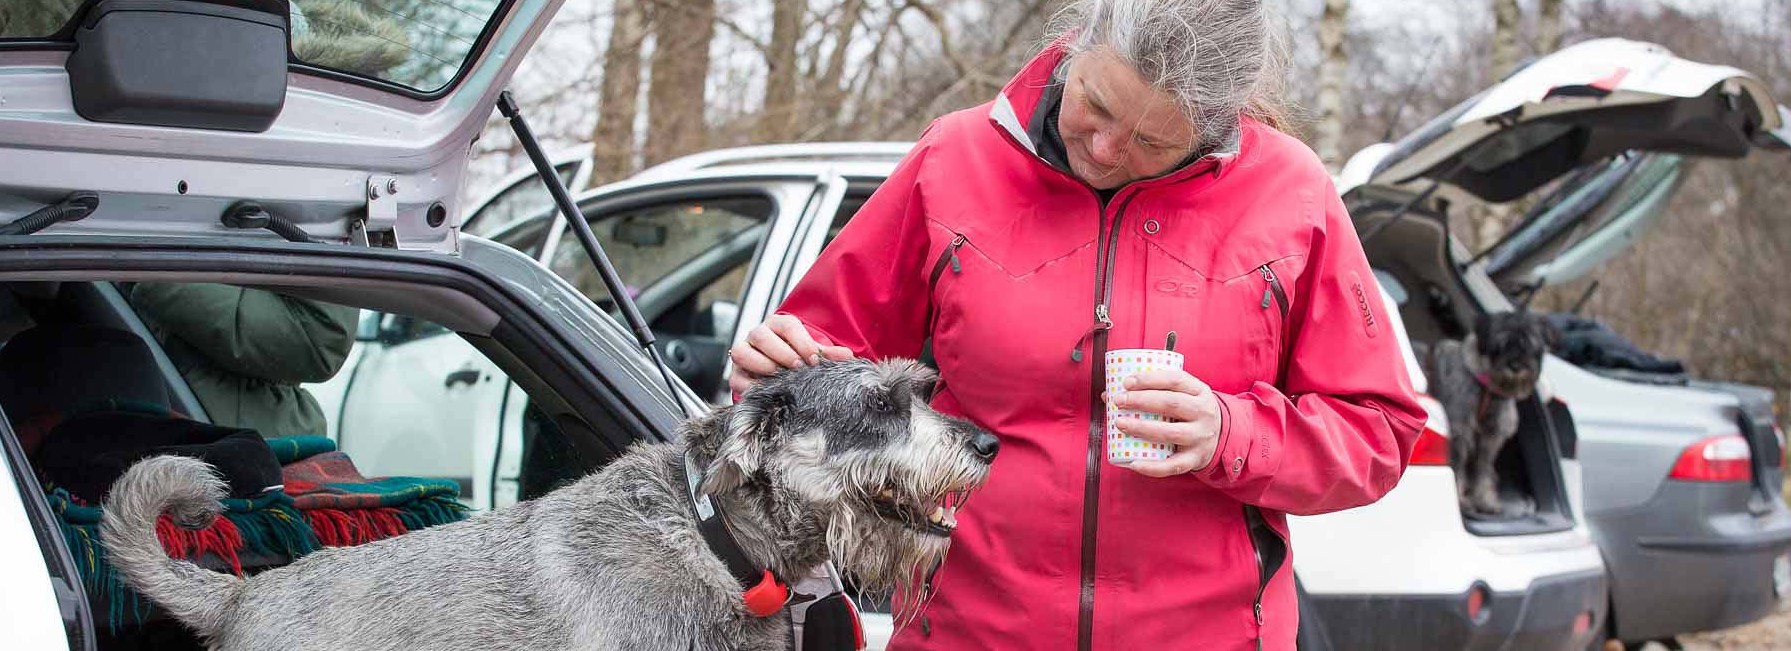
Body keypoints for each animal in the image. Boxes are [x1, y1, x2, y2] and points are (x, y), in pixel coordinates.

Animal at [1425, 310, 1554, 520]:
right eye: (1500, 345)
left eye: (1531, 346)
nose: (1516, 366)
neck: (1487, 389)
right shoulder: (1461, 433)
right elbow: (1458, 467)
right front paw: (1461, 500)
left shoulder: (1490, 439)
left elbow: (1483, 470)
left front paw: (1485, 501)